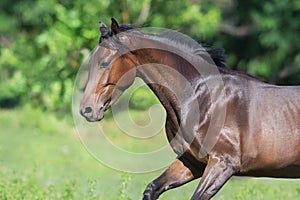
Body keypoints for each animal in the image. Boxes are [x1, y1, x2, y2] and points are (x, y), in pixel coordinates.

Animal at [79, 18, 300, 199]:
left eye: (104, 62)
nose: (86, 109)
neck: (201, 98)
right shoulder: (192, 162)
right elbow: (152, 189)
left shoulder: (223, 164)